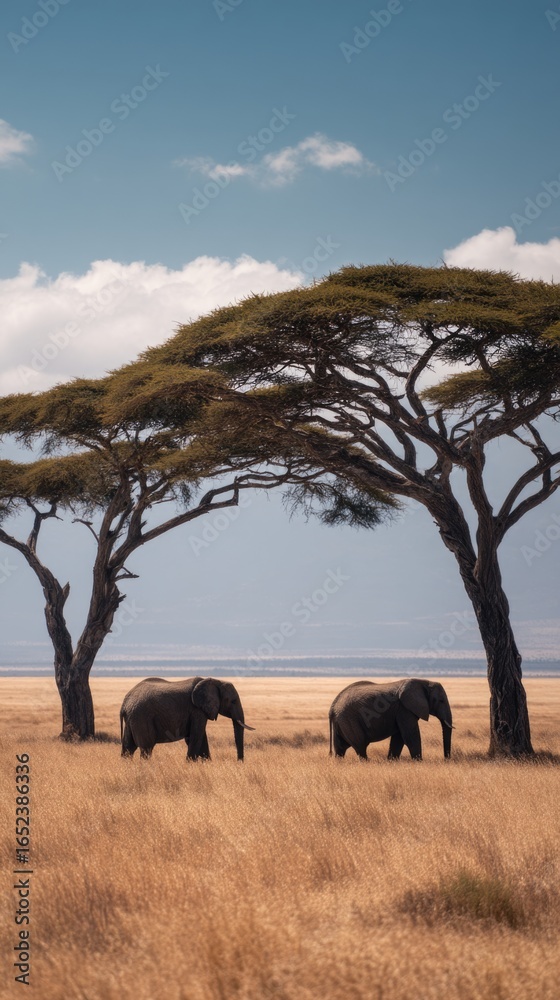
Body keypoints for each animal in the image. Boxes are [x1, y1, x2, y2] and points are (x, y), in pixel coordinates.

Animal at [120, 676, 254, 761]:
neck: (216, 681)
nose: (239, 762)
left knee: (128, 748)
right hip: (141, 717)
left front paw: (207, 763)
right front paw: (190, 764)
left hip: (132, 719)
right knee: (146, 749)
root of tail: (125, 703)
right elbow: (196, 736)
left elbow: (199, 737)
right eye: (233, 701)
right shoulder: (196, 710)